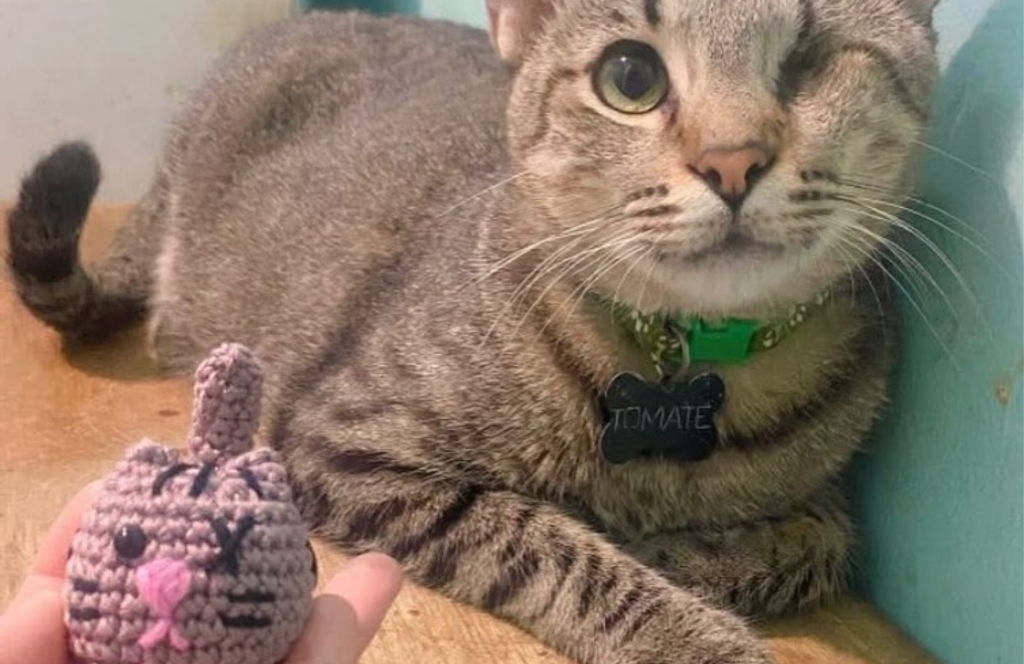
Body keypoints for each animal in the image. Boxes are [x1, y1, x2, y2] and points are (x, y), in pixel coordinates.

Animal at [7, 1, 940, 663]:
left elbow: (827, 541)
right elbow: (548, 546)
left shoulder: (828, 497)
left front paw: (678, 553)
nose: (732, 159)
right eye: (630, 76)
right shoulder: (343, 443)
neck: (683, 356)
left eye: (810, 60)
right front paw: (688, 628)